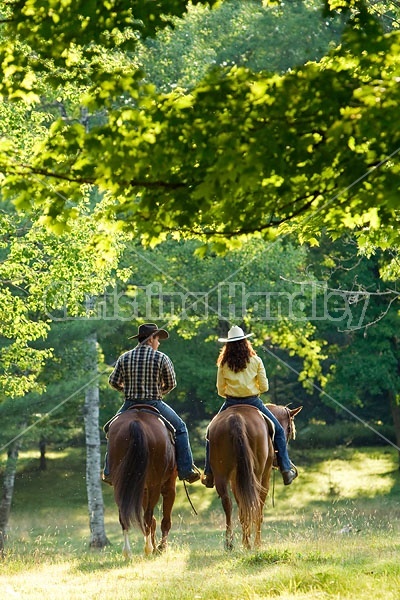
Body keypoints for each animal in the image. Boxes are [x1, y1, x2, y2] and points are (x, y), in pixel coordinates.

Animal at [106, 408, 177, 556]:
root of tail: (136, 423)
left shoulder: (142, 489)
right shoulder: (169, 486)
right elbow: (165, 520)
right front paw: (161, 547)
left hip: (121, 485)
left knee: (124, 516)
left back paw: (128, 553)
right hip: (155, 485)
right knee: (148, 516)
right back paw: (148, 549)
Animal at [208, 400, 302, 552]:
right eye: (289, 429)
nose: (276, 460)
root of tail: (236, 419)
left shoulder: (235, 480)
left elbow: (242, 508)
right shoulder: (265, 476)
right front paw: (256, 543)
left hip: (221, 476)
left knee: (228, 503)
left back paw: (231, 543)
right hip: (257, 474)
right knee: (255, 505)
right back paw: (254, 543)